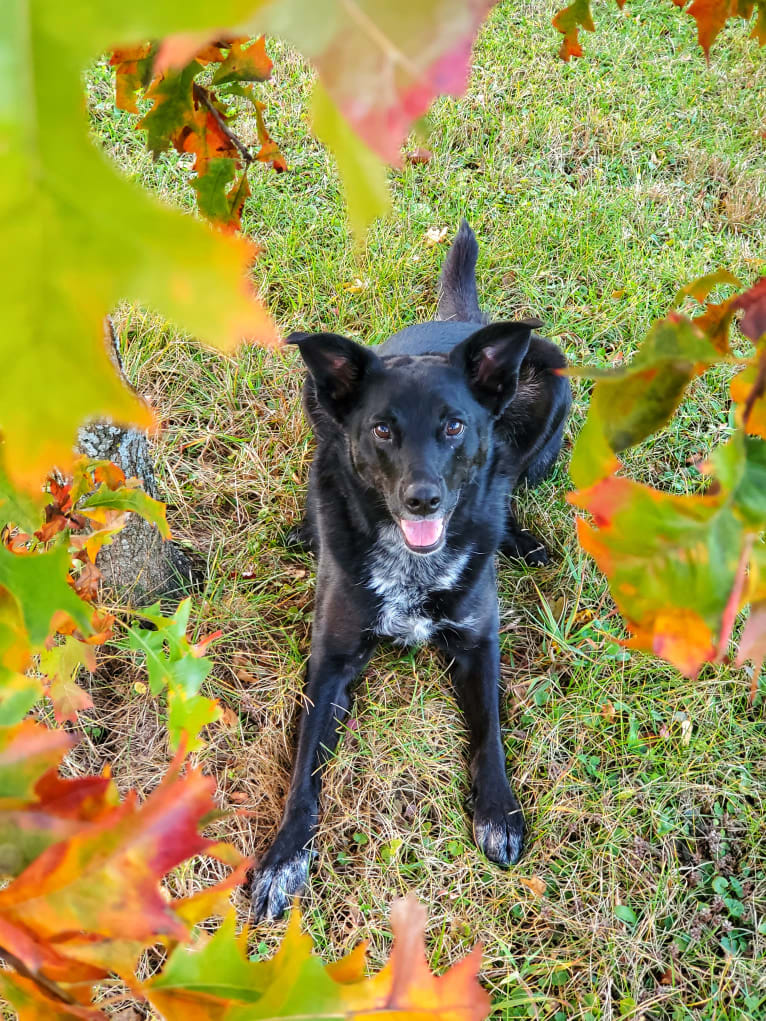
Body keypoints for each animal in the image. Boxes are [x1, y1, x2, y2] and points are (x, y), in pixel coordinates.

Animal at [252, 225, 571, 927]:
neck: (413, 566)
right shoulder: (332, 661)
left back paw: (521, 539)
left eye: (453, 426)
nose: (423, 500)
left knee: (513, 476)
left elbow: (490, 734)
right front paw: (284, 858)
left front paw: (498, 811)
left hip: (553, 382)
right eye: (381, 430)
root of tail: (463, 324)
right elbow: (304, 770)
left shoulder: (478, 643)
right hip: (315, 401)